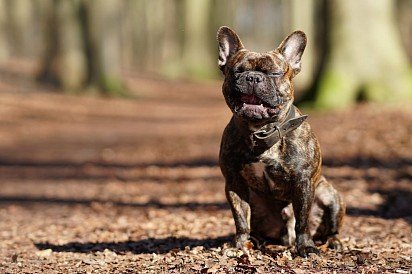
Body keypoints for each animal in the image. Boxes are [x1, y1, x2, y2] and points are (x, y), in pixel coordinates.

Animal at [217, 26, 346, 256]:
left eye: (274, 73)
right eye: (237, 71)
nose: (253, 78)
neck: (261, 131)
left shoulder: (303, 182)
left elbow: (302, 221)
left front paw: (306, 247)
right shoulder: (234, 182)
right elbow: (240, 218)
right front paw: (239, 245)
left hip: (329, 196)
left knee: (328, 228)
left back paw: (332, 242)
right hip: (257, 204)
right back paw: (254, 241)